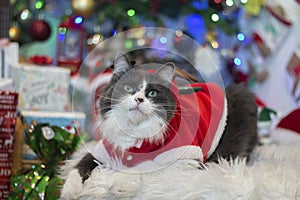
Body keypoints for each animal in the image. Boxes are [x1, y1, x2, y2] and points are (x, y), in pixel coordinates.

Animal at [61, 54, 258, 199]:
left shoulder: (185, 159)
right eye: (128, 88)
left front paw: (121, 181)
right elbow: (80, 163)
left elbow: (145, 166)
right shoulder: (105, 149)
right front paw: (70, 189)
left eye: (152, 93)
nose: (139, 99)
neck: (135, 132)